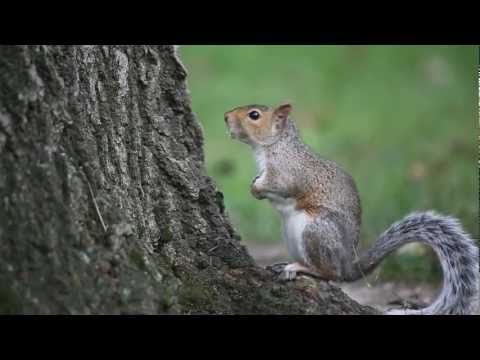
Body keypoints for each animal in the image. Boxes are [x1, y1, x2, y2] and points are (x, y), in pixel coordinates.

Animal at [225, 102, 480, 316]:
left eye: (254, 115)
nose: (226, 116)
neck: (276, 144)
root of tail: (348, 264)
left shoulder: (288, 172)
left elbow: (281, 185)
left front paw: (257, 187)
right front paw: (255, 185)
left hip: (315, 230)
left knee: (329, 274)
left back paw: (302, 267)